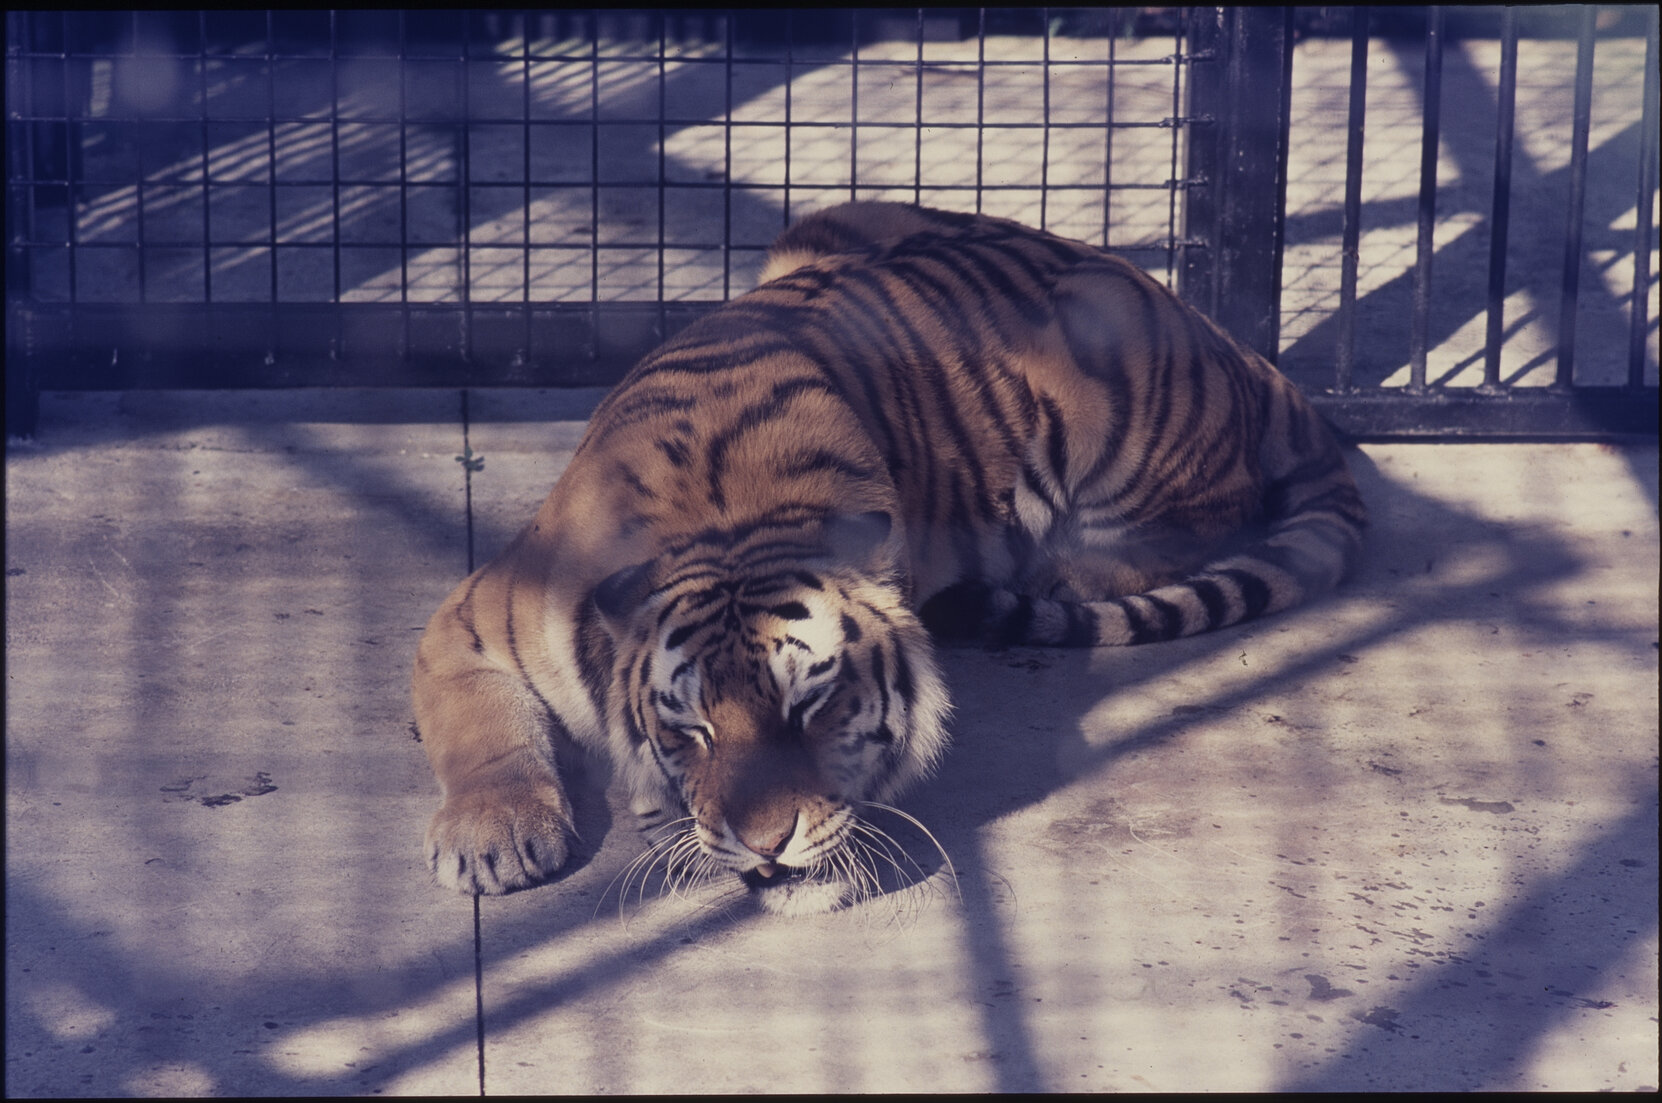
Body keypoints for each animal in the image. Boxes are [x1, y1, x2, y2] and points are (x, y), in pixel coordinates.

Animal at [412, 201, 1366, 916]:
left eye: (812, 704)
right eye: (691, 728)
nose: (765, 844)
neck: (725, 525)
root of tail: (1233, 342)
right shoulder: (470, 615)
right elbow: (477, 723)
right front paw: (495, 836)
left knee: (1198, 523)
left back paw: (1054, 572)